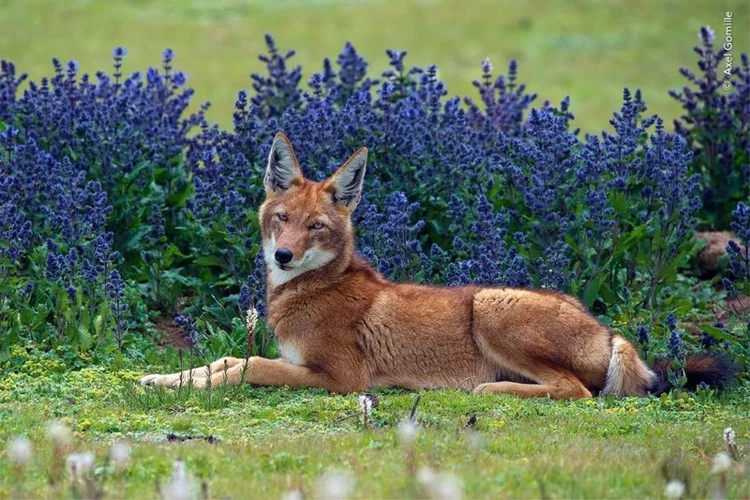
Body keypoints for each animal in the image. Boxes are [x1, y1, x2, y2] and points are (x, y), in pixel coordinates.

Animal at [140, 132, 736, 398]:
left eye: (316, 227)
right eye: (281, 219)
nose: (283, 255)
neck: (308, 289)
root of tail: (607, 331)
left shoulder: (343, 378)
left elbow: (246, 367)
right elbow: (221, 361)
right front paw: (161, 379)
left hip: (490, 306)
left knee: (576, 391)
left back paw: (490, 391)